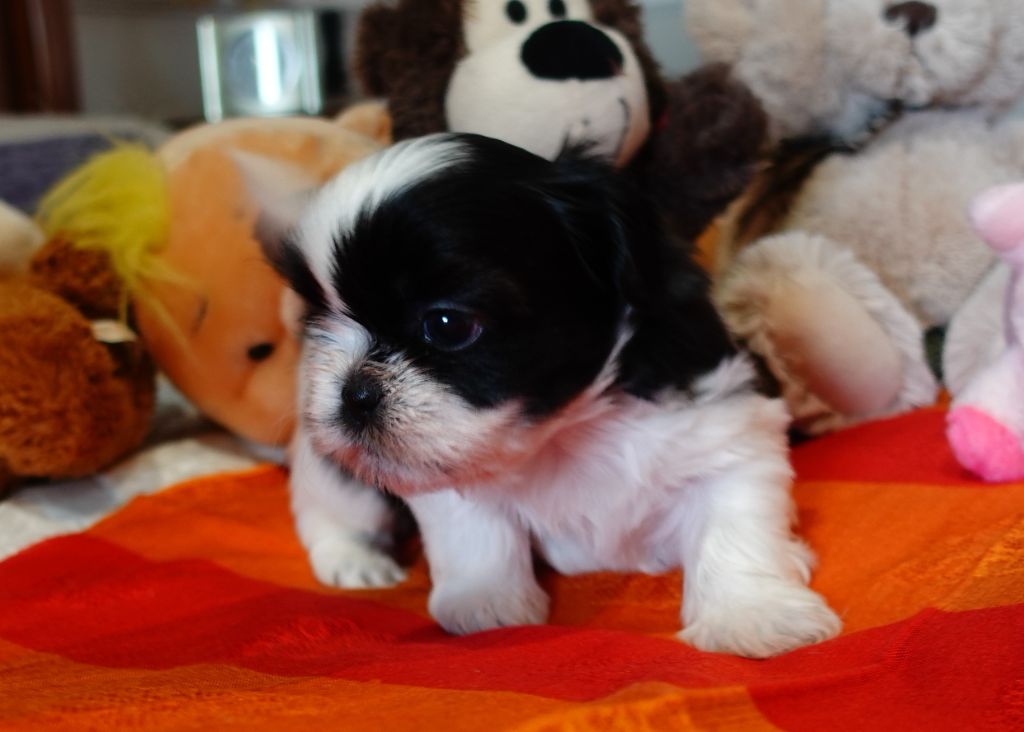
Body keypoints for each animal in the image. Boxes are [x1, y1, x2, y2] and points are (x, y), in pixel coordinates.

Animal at [265, 132, 841, 658]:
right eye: (318, 317)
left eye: (447, 325)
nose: (355, 391)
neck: (567, 428)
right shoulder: (436, 469)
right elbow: (476, 533)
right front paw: (487, 603)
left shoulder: (726, 427)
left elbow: (735, 523)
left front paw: (753, 615)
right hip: (333, 465)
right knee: (331, 505)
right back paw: (356, 561)